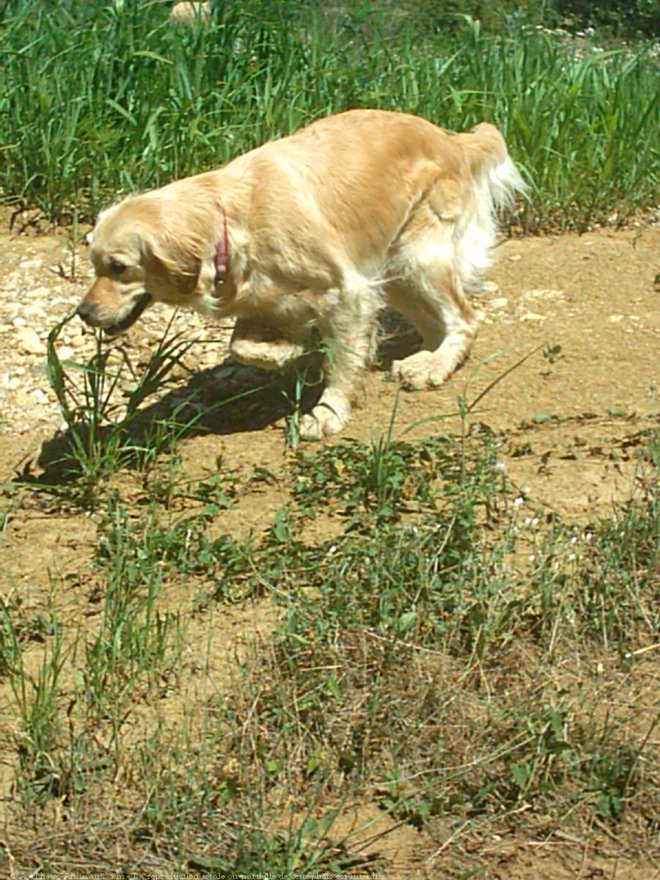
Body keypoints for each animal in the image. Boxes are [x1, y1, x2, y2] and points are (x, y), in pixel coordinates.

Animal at [76, 110, 524, 440]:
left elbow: (340, 360)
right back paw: (425, 360)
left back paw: (434, 365)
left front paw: (327, 411)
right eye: (93, 262)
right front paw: (286, 351)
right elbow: (244, 347)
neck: (230, 220)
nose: (83, 312)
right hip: (397, 272)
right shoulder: (263, 298)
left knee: (465, 318)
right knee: (438, 324)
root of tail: (453, 139)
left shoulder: (349, 290)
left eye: (118, 267)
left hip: (414, 257)